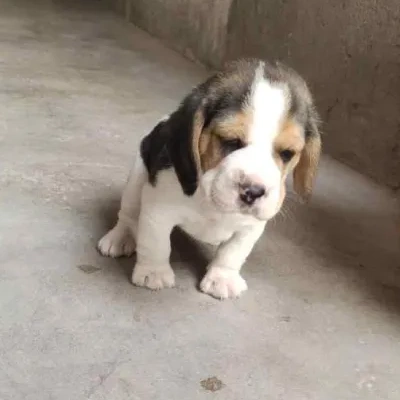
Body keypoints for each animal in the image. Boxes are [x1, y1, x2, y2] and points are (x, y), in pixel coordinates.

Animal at [97, 57, 322, 298]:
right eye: (230, 140)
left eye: (287, 153)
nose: (253, 191)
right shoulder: (158, 209)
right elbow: (156, 243)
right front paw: (153, 273)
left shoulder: (251, 227)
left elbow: (233, 252)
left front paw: (222, 278)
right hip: (136, 179)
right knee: (128, 216)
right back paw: (119, 238)